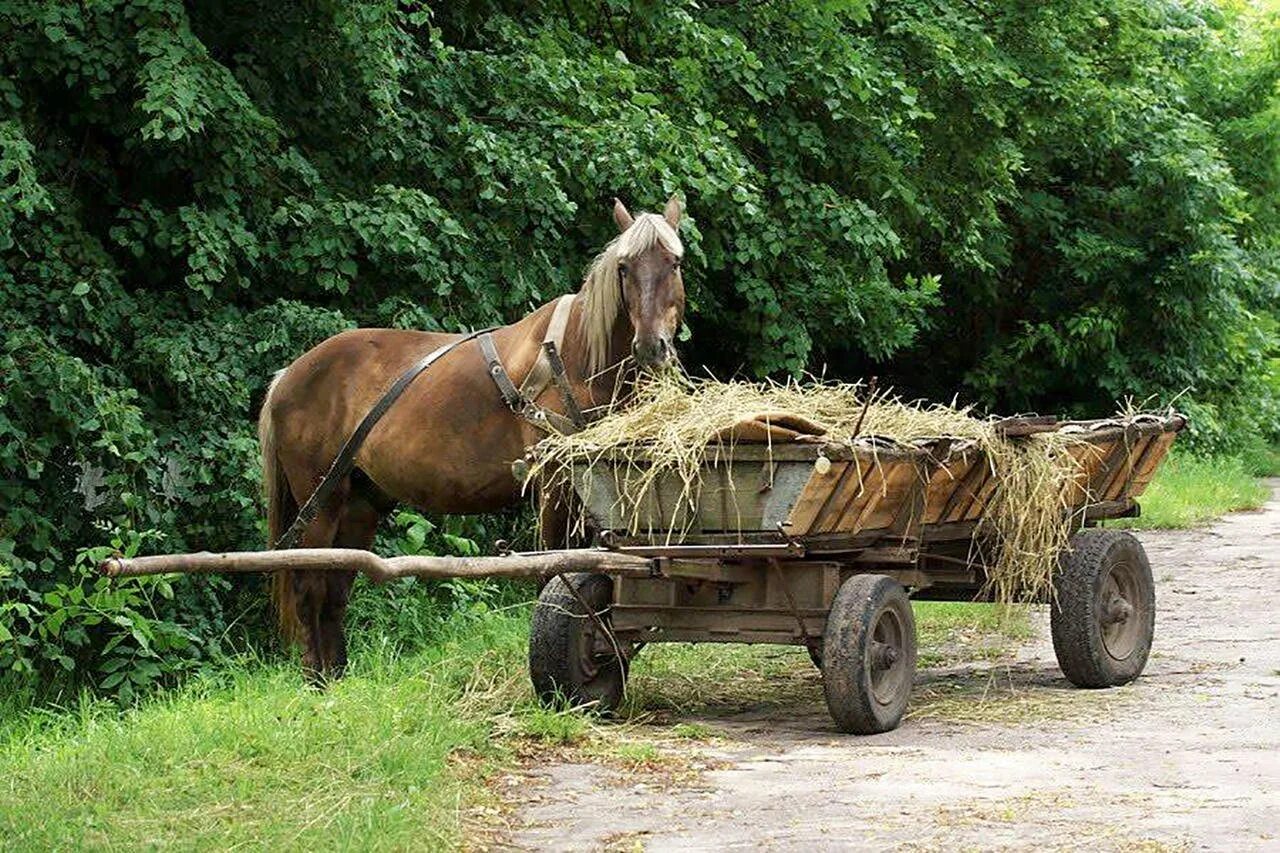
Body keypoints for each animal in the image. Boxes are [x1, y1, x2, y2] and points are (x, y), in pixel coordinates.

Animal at [258, 195, 691, 681]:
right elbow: (557, 565)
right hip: (322, 500)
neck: (576, 358)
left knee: (335, 588)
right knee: (310, 588)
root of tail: (288, 375)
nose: (651, 347)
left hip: (359, 502)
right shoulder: (553, 484)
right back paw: (318, 683)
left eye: (674, 262)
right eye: (624, 267)